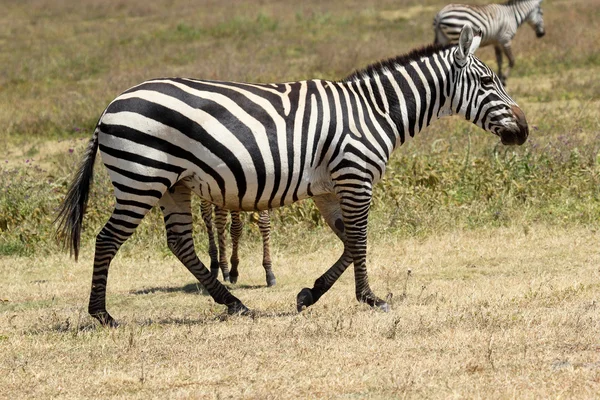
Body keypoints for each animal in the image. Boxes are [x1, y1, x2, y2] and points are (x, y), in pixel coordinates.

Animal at [55, 24, 524, 328]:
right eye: (488, 82)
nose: (524, 130)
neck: (374, 110)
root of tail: (110, 106)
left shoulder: (330, 188)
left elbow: (350, 242)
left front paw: (309, 294)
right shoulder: (356, 176)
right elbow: (360, 240)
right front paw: (370, 298)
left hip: (175, 185)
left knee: (179, 243)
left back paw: (235, 304)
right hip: (142, 179)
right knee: (108, 239)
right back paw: (102, 315)